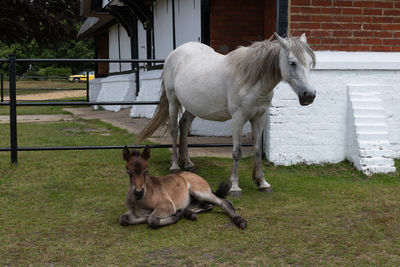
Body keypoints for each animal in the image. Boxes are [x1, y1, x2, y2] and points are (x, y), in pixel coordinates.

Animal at [118, 147, 247, 230]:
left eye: (146, 171)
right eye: (128, 172)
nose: (138, 193)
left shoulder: (167, 206)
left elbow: (151, 219)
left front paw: (175, 215)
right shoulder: (134, 211)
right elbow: (123, 218)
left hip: (200, 192)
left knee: (224, 202)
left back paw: (240, 221)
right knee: (208, 205)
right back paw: (189, 214)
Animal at [138, 33, 316, 197]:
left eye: (310, 63)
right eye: (292, 62)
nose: (309, 95)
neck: (250, 80)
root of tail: (175, 53)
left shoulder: (259, 118)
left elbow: (258, 150)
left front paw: (262, 182)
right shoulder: (238, 118)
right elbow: (237, 152)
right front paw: (235, 187)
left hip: (193, 106)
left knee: (184, 125)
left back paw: (188, 163)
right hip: (173, 100)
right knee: (174, 130)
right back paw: (175, 166)